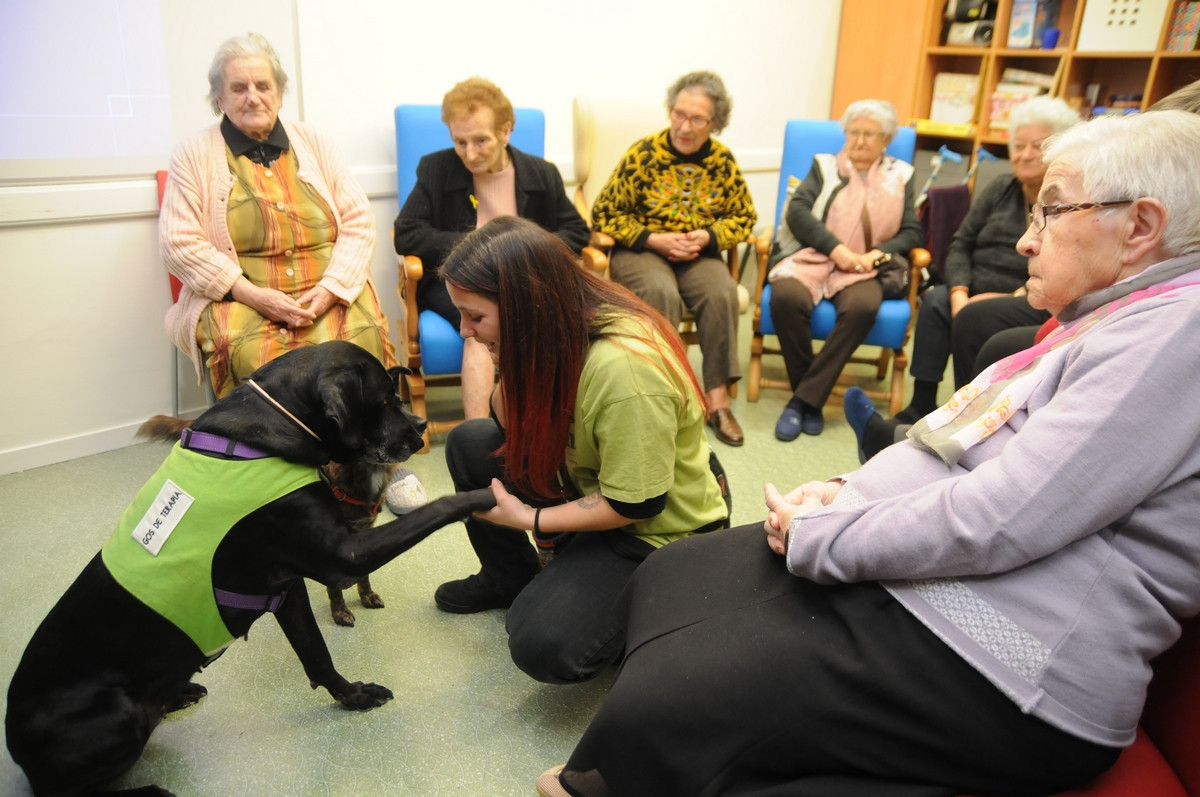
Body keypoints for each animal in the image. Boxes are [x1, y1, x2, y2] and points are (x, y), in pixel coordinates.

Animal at [3, 343, 492, 797]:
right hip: (116, 717)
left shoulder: (288, 589)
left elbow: (318, 655)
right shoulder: (342, 557)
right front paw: (485, 495)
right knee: (67, 791)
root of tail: (17, 749)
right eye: (386, 399)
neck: (267, 433)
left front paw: (353, 697)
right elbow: (436, 508)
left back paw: (178, 693)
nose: (421, 429)